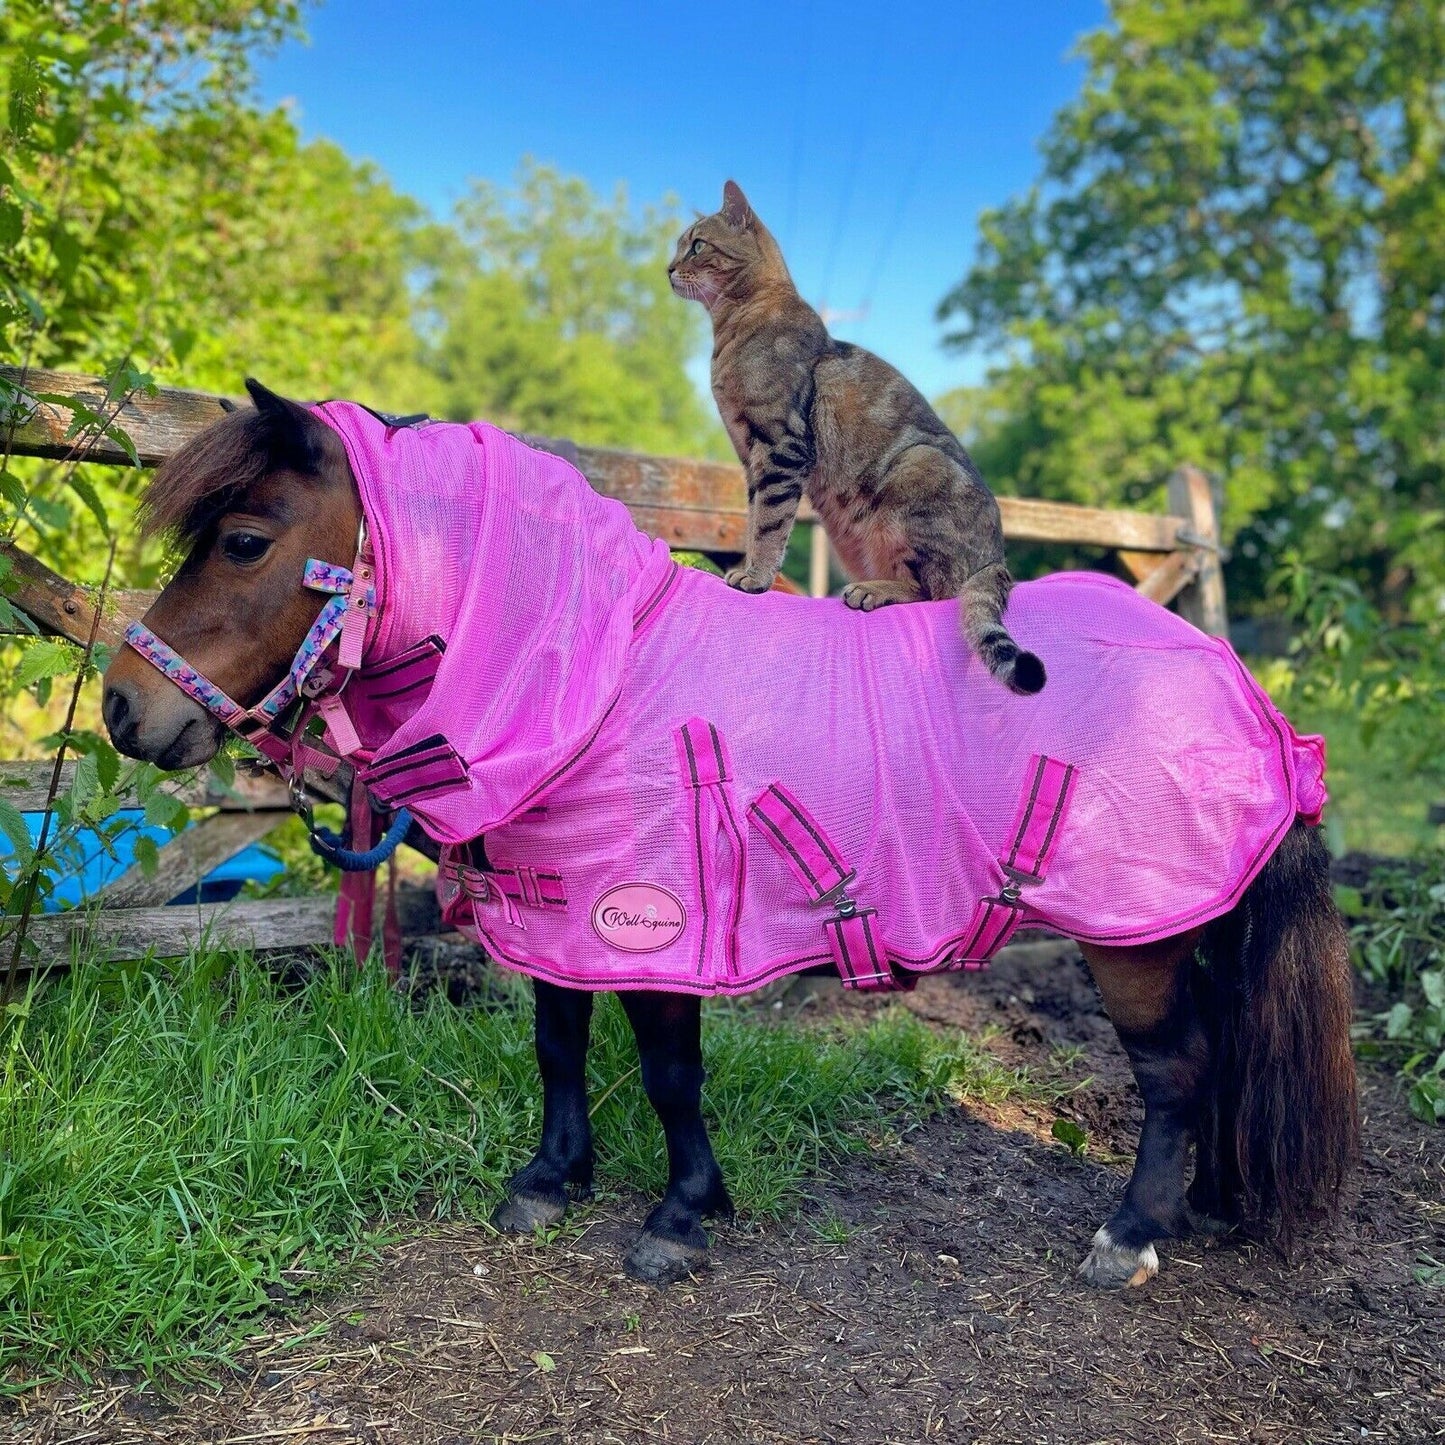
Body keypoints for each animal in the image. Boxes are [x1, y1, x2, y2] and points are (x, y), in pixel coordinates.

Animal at [102, 381, 1359, 1288]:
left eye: (245, 540)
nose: (121, 707)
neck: (605, 674)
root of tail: (1242, 690)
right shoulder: (561, 915)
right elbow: (557, 1045)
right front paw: (550, 1182)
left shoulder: (656, 925)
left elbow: (668, 1073)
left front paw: (678, 1216)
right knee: (1213, 1051)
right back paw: (1201, 1206)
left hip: (1128, 934)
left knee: (1174, 1069)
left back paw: (1129, 1232)